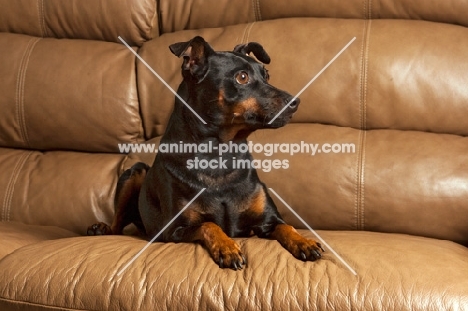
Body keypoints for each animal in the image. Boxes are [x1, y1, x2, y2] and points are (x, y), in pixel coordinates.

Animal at [87, 36, 322, 270]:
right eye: (242, 77)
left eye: (267, 75)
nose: (295, 102)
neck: (220, 155)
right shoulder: (173, 230)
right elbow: (209, 224)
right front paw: (227, 248)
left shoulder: (268, 221)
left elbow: (287, 226)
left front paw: (305, 242)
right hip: (134, 172)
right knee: (118, 222)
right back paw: (101, 228)